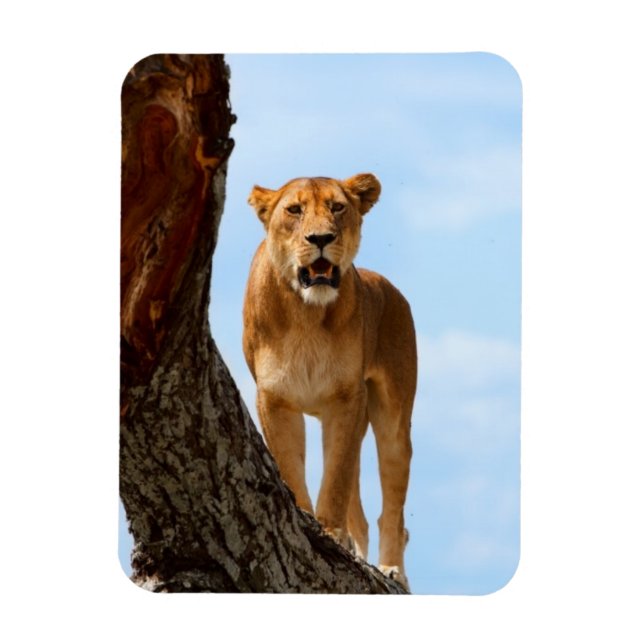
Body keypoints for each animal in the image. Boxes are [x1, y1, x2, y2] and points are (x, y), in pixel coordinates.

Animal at [242, 173, 417, 590]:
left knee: (392, 512)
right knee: (363, 518)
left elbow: (335, 480)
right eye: (294, 210)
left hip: (391, 420)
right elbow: (292, 468)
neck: (307, 314)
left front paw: (330, 534)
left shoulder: (346, 399)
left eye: (338, 207)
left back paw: (391, 571)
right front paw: (306, 521)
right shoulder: (275, 400)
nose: (320, 238)